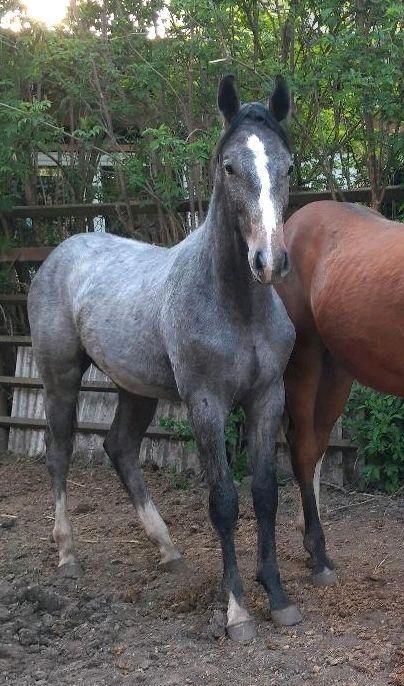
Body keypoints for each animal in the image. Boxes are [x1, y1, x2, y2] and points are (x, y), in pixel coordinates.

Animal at [28, 76, 300, 644]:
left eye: (286, 166)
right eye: (229, 167)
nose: (269, 261)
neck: (236, 305)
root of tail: (58, 255)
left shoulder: (267, 397)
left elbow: (265, 493)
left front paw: (279, 598)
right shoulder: (206, 404)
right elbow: (224, 501)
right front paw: (238, 612)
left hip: (135, 390)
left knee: (120, 448)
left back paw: (167, 550)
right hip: (59, 377)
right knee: (59, 452)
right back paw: (67, 556)